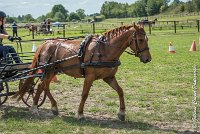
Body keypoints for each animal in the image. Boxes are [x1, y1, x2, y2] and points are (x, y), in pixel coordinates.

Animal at [14, 23, 152, 120]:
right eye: (140, 40)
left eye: (147, 39)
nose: (148, 59)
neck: (104, 49)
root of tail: (45, 43)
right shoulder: (90, 77)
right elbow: (84, 94)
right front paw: (80, 114)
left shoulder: (109, 77)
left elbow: (120, 91)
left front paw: (122, 113)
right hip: (48, 71)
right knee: (41, 85)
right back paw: (35, 107)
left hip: (52, 71)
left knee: (43, 86)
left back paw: (51, 107)